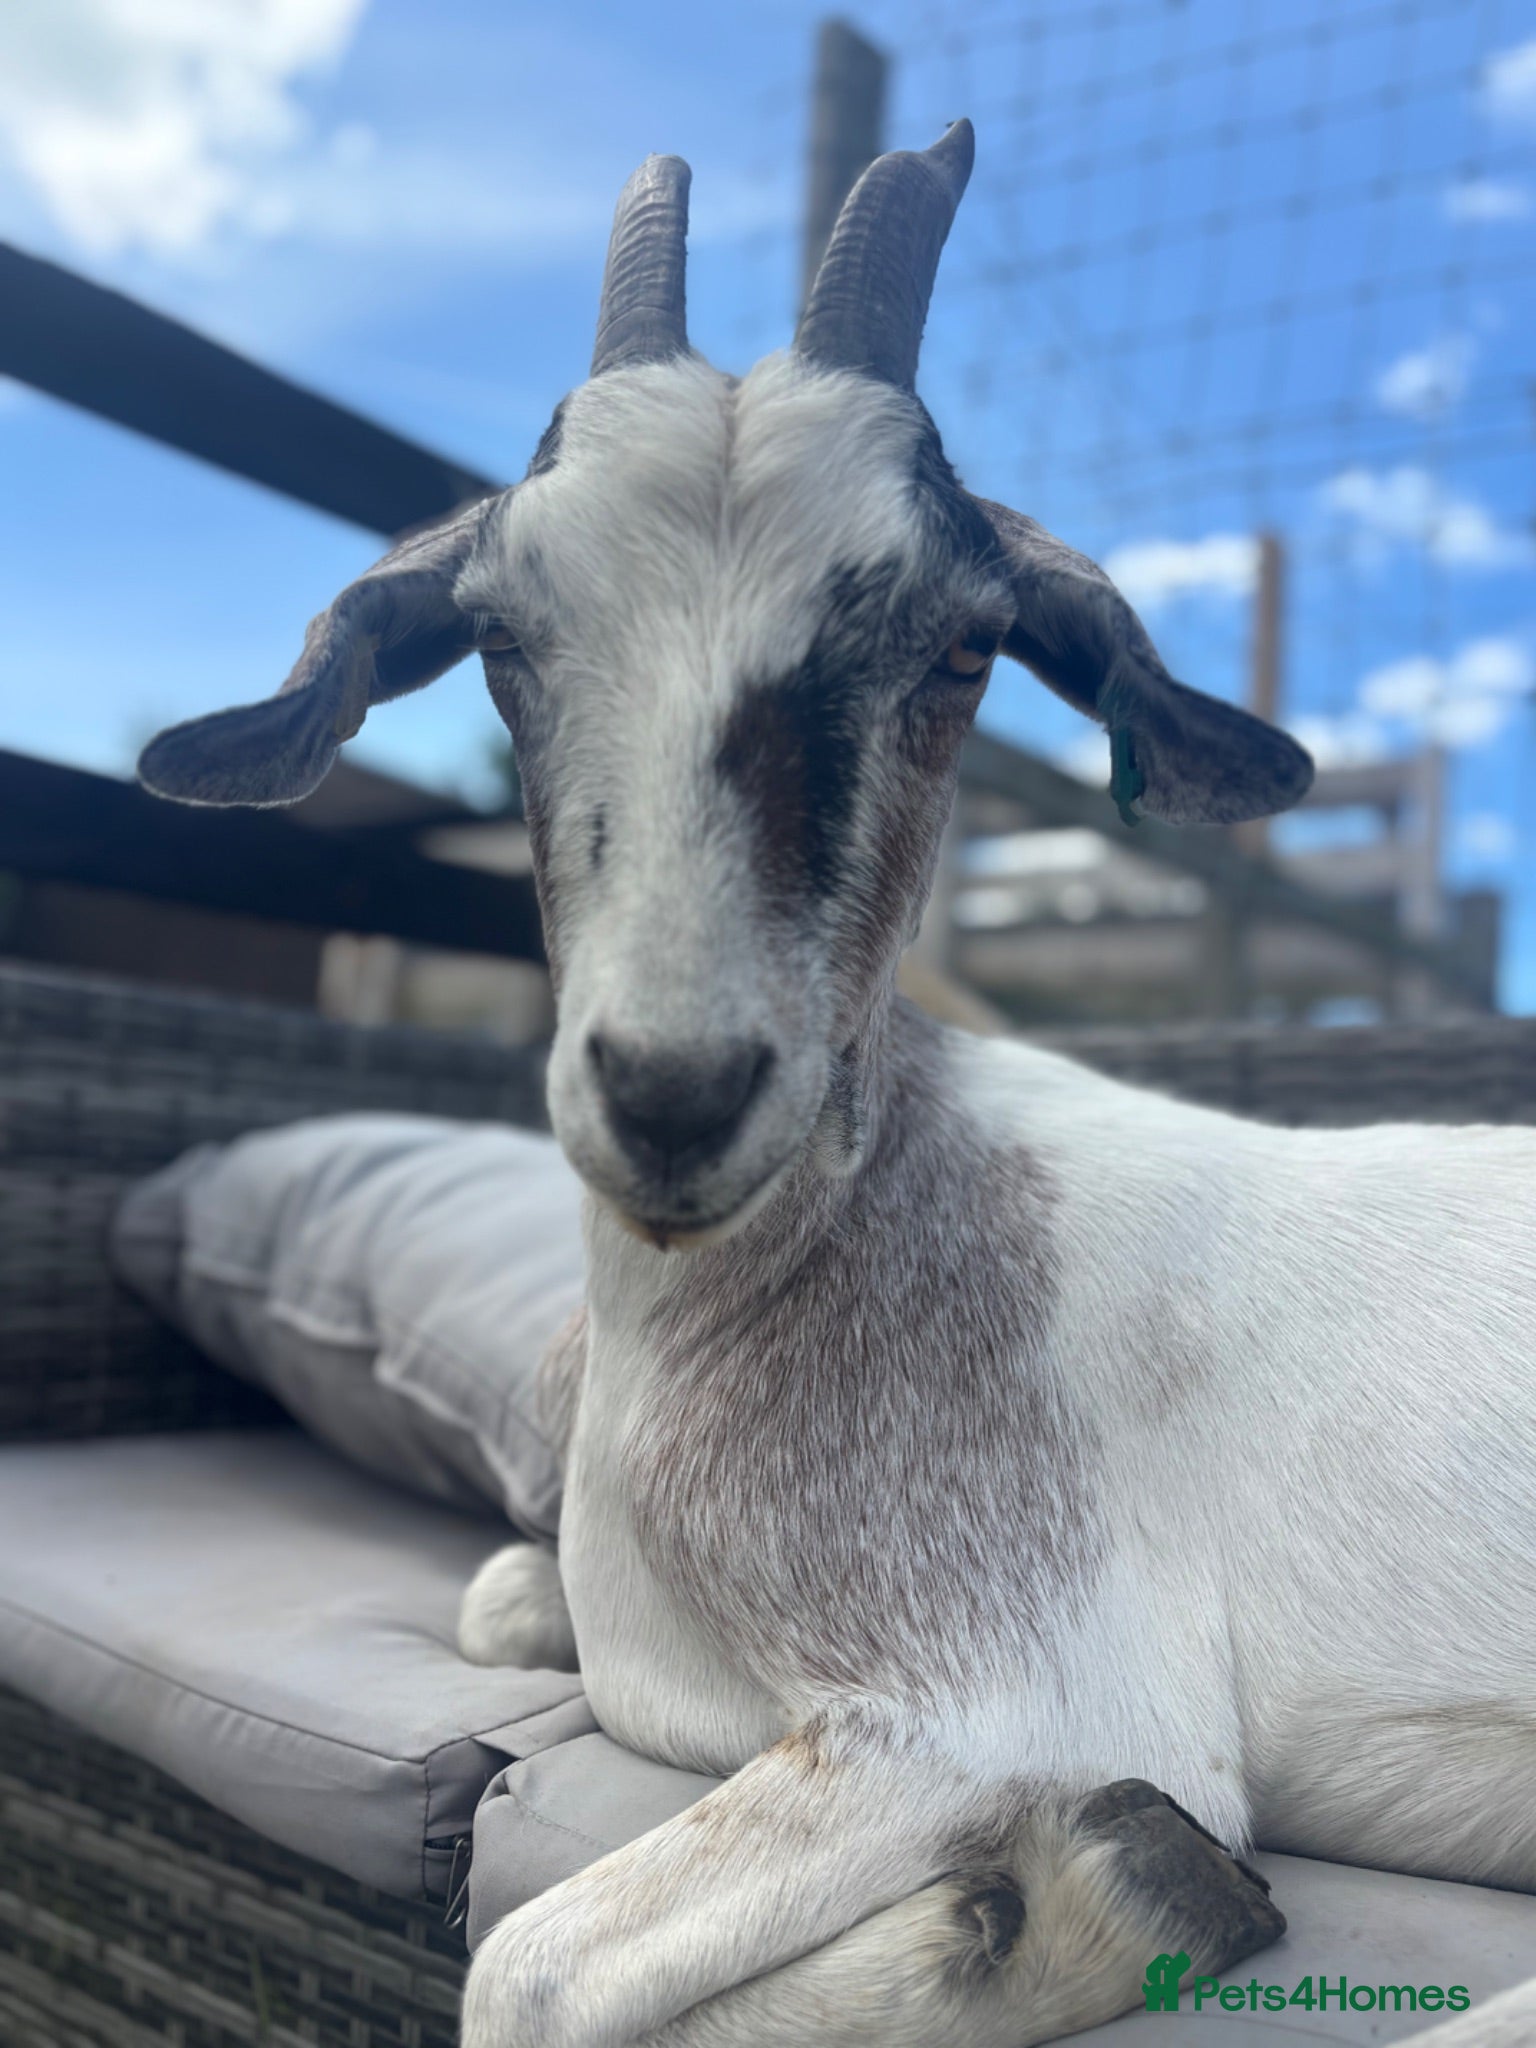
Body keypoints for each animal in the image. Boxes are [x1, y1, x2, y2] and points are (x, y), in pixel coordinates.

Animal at [140, 126, 1536, 2048]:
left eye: (964, 645)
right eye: (502, 638)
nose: (673, 1089)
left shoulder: (1007, 1704)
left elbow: (529, 1967)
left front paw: (1105, 1888)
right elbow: (495, 1605)